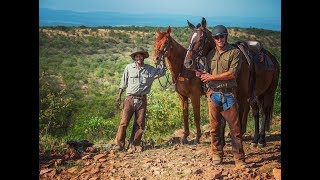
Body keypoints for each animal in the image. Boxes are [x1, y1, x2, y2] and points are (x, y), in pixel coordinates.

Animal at [184, 17, 278, 148]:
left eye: (201, 39)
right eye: (189, 38)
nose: (188, 62)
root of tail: (273, 59)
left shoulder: (240, 97)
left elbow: (236, 118)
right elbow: (223, 120)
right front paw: (221, 143)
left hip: (268, 93)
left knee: (264, 112)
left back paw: (262, 140)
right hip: (257, 95)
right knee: (256, 113)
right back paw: (255, 139)